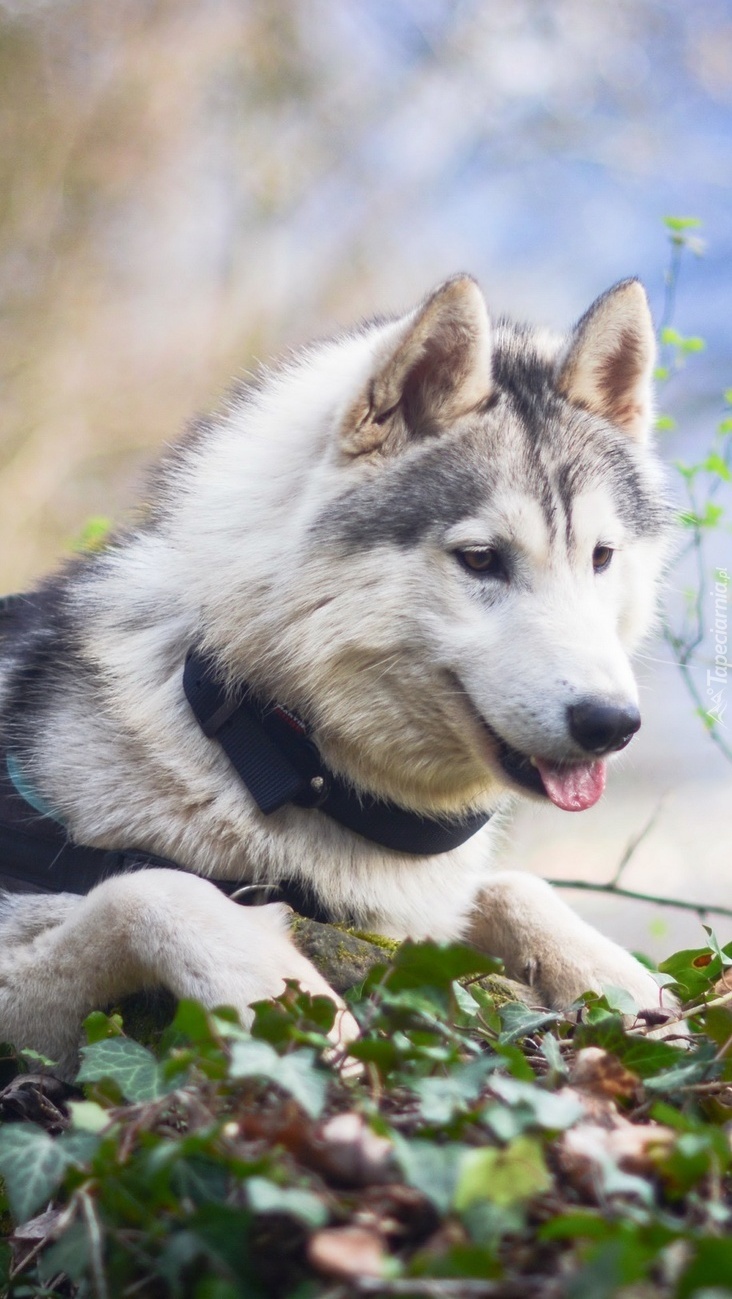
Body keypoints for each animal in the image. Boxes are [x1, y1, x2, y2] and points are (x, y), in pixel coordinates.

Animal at [0, 273, 676, 1077]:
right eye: (481, 559)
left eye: (601, 556)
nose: (612, 724)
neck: (268, 743)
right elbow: (154, 889)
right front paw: (297, 1011)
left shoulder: (411, 914)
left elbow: (516, 885)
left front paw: (635, 992)